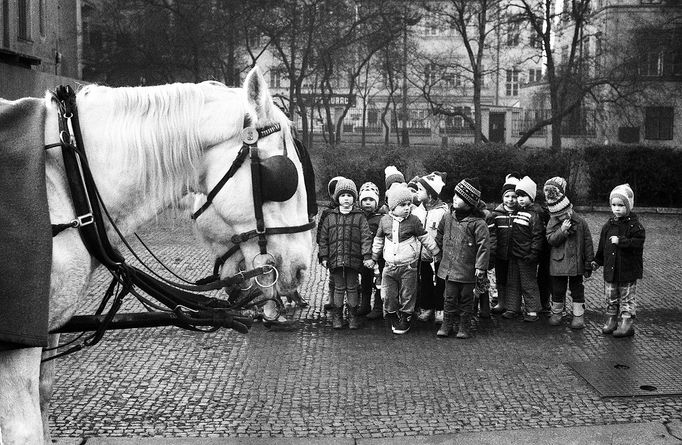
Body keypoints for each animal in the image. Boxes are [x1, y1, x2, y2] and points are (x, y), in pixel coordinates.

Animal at [0, 67, 314, 442]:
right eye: (285, 176)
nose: (301, 268)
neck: (67, 179)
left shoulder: (48, 328)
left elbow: (44, 399)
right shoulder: (14, 347)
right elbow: (24, 429)